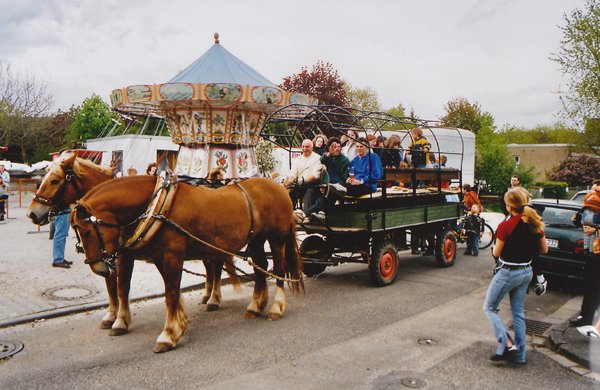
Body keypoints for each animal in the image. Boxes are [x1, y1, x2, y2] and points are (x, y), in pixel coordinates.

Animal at [26, 152, 237, 332]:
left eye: (54, 180)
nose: (32, 213)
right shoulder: (110, 254)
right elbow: (111, 285)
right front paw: (112, 315)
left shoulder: (124, 255)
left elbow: (122, 286)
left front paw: (121, 320)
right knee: (210, 266)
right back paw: (207, 294)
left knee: (216, 266)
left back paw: (214, 299)